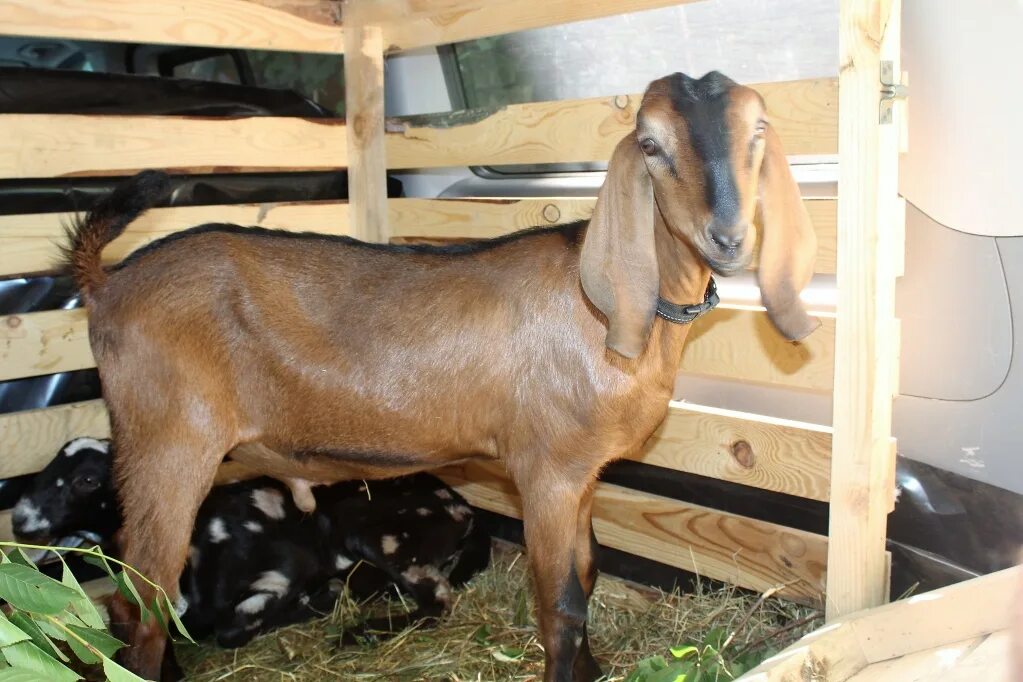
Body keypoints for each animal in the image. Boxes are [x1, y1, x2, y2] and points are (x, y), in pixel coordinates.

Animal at [65, 72, 814, 678]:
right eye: (651, 144)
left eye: (757, 129)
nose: (728, 238)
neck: (604, 312)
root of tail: (107, 284)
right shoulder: (544, 471)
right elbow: (561, 604)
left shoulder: (581, 475)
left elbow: (591, 572)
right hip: (168, 444)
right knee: (143, 601)